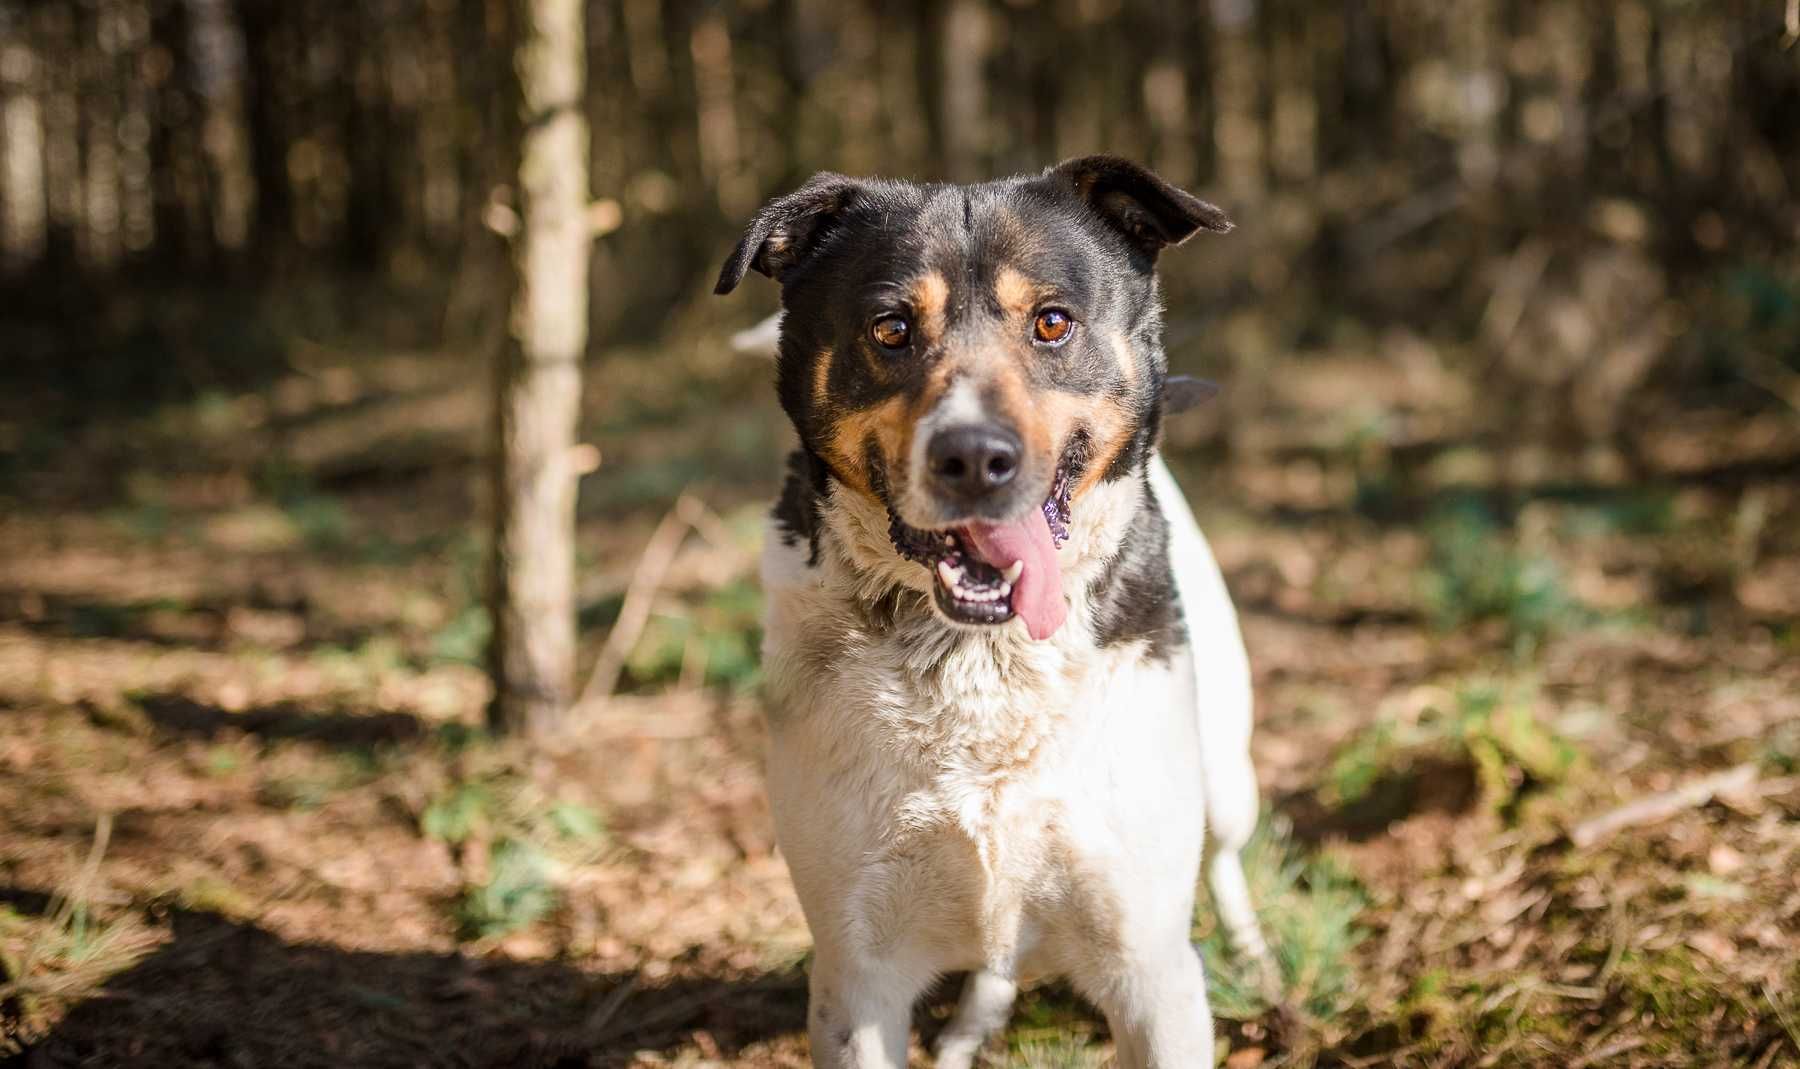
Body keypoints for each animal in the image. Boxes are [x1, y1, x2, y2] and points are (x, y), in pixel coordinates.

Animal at [709, 153, 1274, 1058]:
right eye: (890, 329)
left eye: (1052, 322)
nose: (974, 457)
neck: (980, 655)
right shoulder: (856, 971)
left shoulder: (1151, 966)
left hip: (1223, 769)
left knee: (1224, 857)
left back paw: (1260, 962)